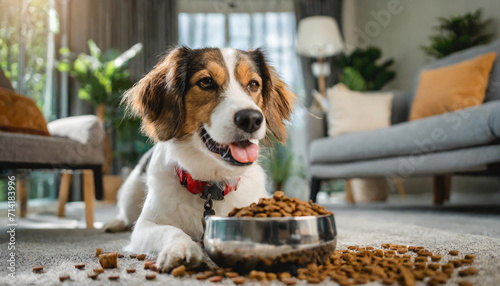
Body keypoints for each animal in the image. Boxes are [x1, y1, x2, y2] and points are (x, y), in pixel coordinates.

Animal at [103, 46, 294, 270]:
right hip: (130, 190)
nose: (251, 119)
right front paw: (182, 248)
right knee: (125, 213)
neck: (211, 184)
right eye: (206, 82)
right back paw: (114, 223)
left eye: (254, 84)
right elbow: (170, 230)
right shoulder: (145, 226)